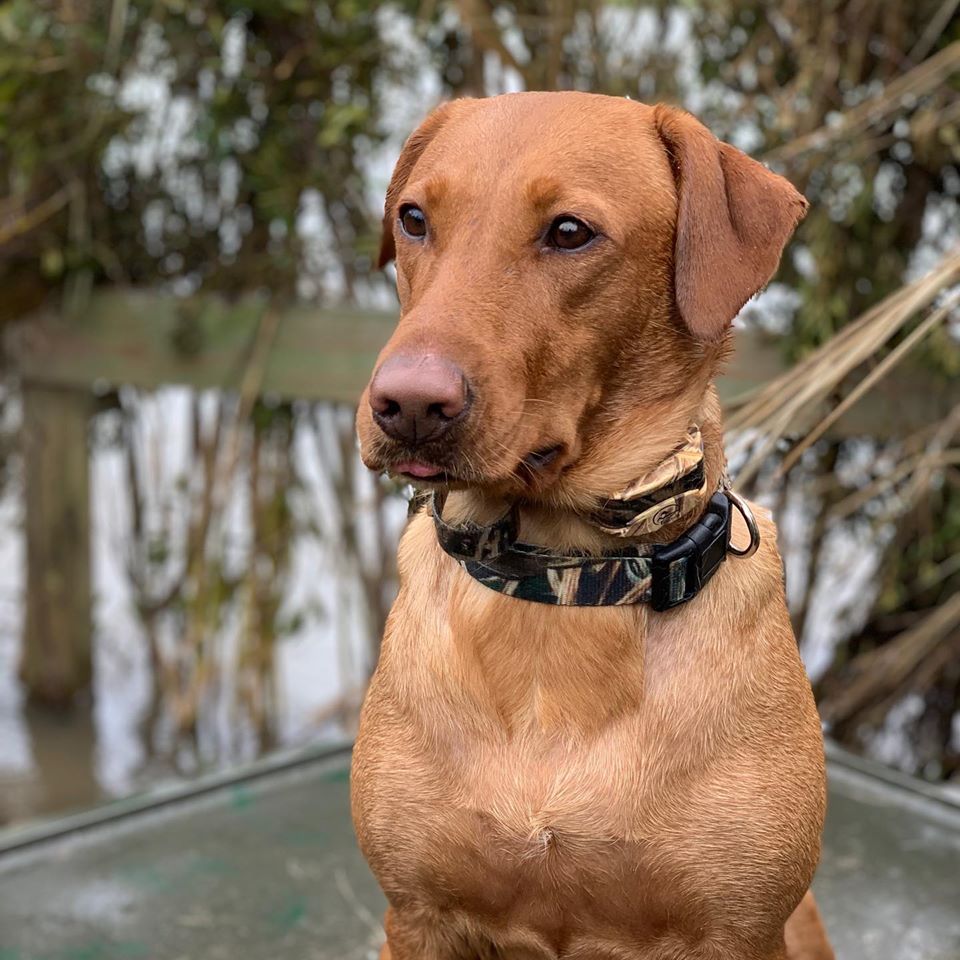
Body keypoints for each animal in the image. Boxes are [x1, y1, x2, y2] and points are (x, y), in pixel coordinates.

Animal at [352, 92, 832, 960]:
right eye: (413, 219)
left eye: (570, 232)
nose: (406, 405)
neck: (562, 581)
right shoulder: (416, 916)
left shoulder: (739, 932)